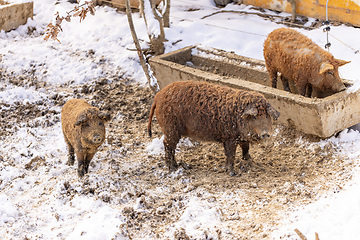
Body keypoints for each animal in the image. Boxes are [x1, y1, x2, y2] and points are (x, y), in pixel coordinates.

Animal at [148, 80, 280, 176]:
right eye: (254, 117)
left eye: (267, 115)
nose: (265, 133)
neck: (238, 116)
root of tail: (158, 97)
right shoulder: (230, 138)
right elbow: (231, 155)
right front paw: (232, 173)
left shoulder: (241, 137)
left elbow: (245, 148)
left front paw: (250, 161)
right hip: (171, 128)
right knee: (168, 145)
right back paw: (172, 169)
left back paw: (177, 165)